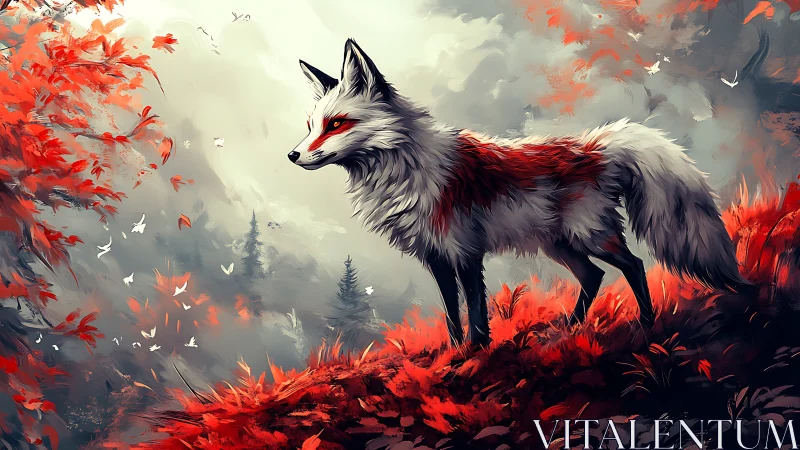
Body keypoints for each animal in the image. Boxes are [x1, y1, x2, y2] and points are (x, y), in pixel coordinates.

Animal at [289, 39, 750, 347]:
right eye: (311, 125)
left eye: (336, 124)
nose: (292, 155)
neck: (404, 175)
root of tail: (595, 146)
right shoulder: (435, 256)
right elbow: (451, 313)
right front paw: (454, 354)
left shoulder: (465, 249)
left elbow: (475, 309)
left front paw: (477, 353)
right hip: (560, 245)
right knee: (595, 276)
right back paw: (571, 327)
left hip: (589, 236)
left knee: (634, 266)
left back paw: (648, 325)